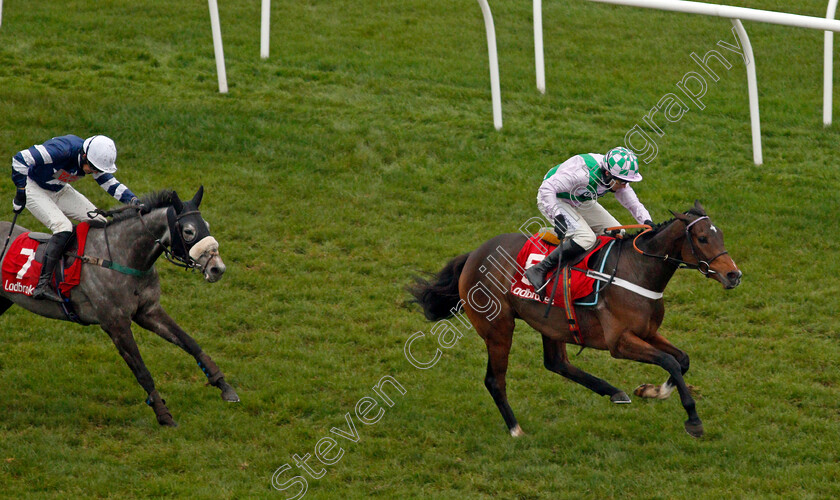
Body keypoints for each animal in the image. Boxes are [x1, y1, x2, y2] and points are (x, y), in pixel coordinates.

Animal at [0, 187, 238, 426]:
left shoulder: (149, 310)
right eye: (189, 231)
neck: (122, 258)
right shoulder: (116, 324)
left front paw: (224, 386)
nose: (218, 269)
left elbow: (189, 342)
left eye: (206, 225)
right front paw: (163, 414)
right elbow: (142, 371)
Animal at [412, 201, 740, 436]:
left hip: (551, 323)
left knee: (557, 363)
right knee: (495, 379)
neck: (638, 270)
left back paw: (615, 392)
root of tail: (474, 255)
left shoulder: (647, 332)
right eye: (702, 238)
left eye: (721, 235)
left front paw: (650, 391)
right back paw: (516, 429)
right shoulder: (619, 342)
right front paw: (693, 419)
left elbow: (682, 359)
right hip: (498, 327)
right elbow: (670, 361)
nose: (733, 275)